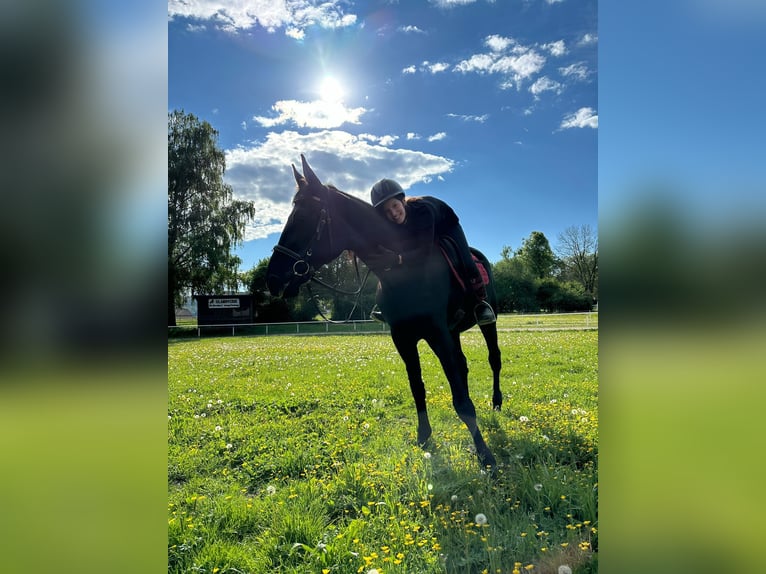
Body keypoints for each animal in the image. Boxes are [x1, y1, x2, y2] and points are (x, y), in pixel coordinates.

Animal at [268, 155, 504, 470]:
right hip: (452, 332)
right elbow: (418, 387)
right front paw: (424, 437)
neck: (406, 272)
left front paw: (485, 455)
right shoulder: (403, 338)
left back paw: (497, 403)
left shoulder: (438, 334)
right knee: (463, 365)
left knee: (494, 358)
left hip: (485, 323)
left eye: (303, 218)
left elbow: (462, 401)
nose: (272, 278)